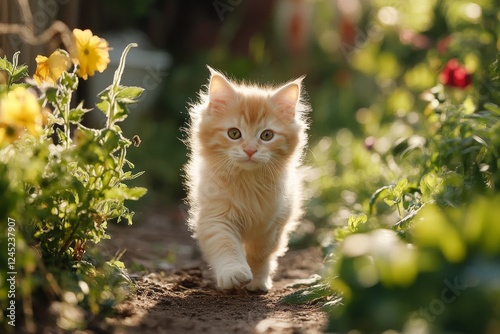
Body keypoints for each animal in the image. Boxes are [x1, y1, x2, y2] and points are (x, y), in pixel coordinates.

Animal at [184, 66, 308, 290]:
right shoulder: (216, 216)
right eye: (234, 133)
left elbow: (260, 254)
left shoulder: (270, 225)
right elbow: (226, 245)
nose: (250, 150)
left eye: (267, 135)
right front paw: (234, 273)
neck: (247, 182)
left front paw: (257, 281)